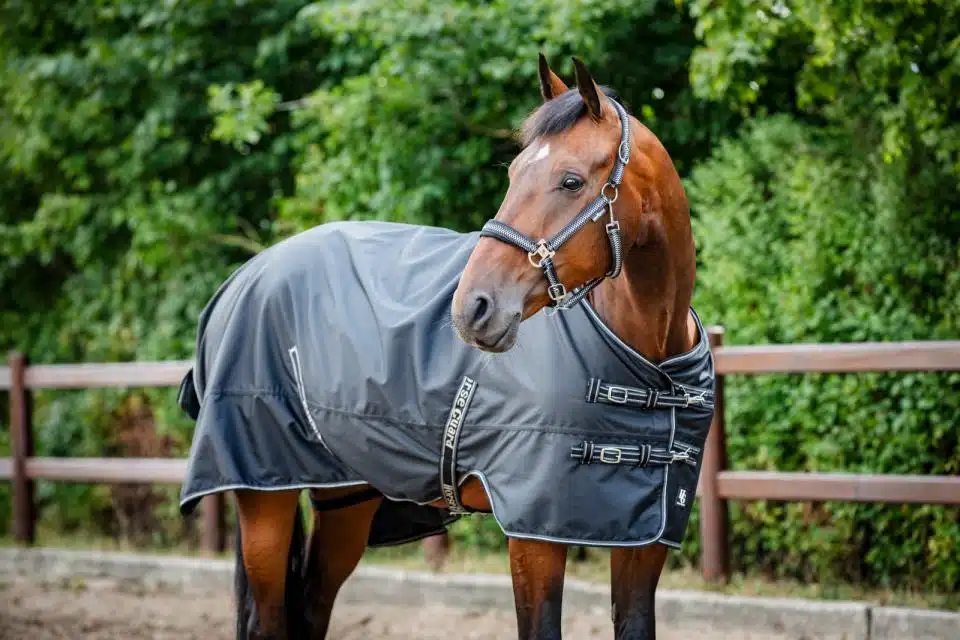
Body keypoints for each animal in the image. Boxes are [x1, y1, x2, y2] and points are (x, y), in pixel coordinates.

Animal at [175, 54, 713, 639]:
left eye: (571, 180)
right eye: (513, 173)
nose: (473, 307)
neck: (648, 361)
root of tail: (243, 278)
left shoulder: (643, 539)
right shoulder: (533, 537)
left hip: (347, 502)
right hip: (263, 504)